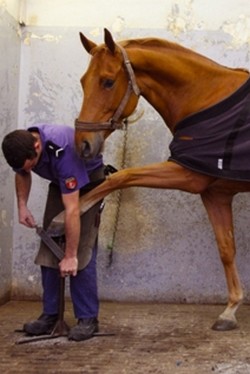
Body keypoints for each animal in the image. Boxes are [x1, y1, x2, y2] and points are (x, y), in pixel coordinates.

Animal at [50, 28, 250, 330]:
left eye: (108, 82)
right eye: (84, 82)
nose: (83, 144)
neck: (205, 96)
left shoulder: (187, 174)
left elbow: (123, 176)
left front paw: (66, 215)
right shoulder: (215, 192)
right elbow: (227, 248)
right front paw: (230, 309)